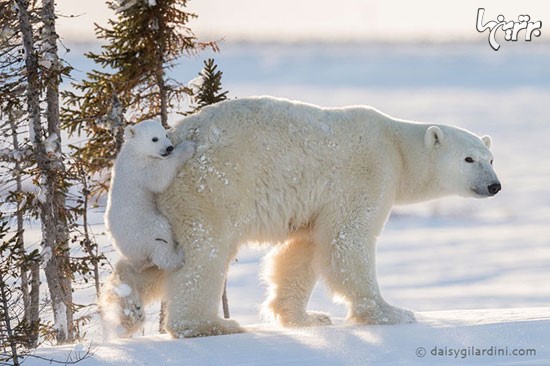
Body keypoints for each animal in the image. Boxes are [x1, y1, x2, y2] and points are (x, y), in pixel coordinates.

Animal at [105, 120, 196, 272]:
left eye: (165, 134)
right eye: (154, 139)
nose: (169, 148)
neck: (134, 151)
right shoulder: (140, 168)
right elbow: (160, 177)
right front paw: (188, 146)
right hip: (145, 229)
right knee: (161, 239)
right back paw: (179, 254)